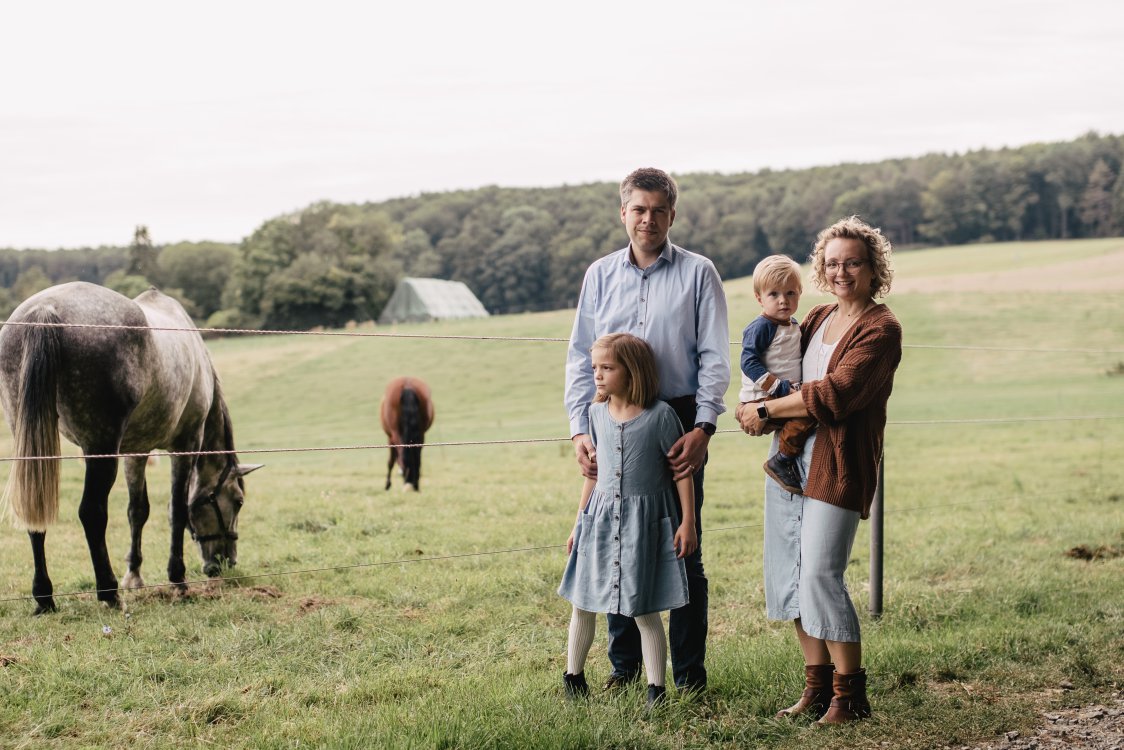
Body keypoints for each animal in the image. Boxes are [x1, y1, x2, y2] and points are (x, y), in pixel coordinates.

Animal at [0, 281, 260, 616]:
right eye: (238, 501)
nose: (226, 561)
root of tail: (46, 309)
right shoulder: (185, 445)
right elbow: (176, 510)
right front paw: (177, 579)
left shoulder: (136, 453)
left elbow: (138, 511)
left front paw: (134, 575)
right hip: (100, 448)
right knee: (92, 512)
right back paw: (108, 592)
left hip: (34, 444)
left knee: (35, 510)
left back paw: (44, 597)